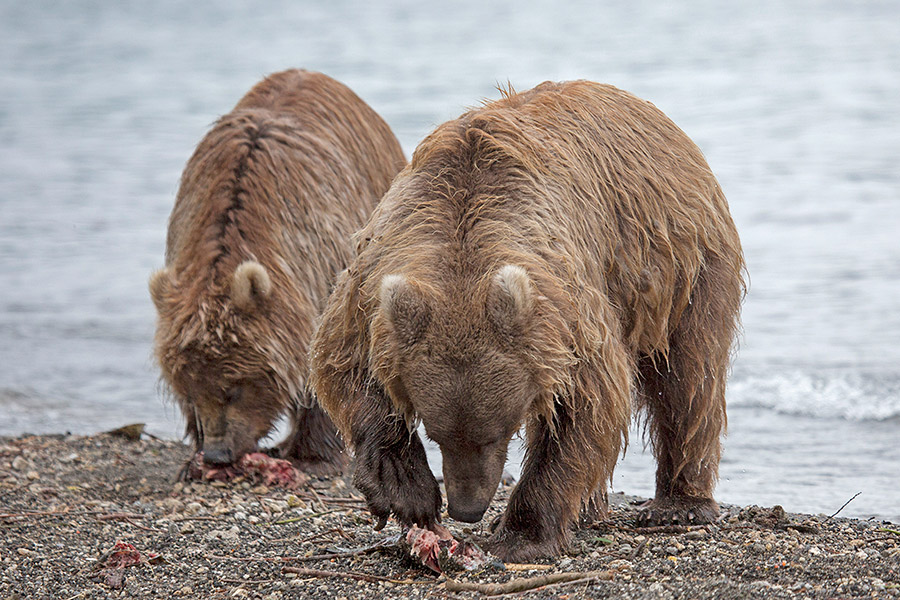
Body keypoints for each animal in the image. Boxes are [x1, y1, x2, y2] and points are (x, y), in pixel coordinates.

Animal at [310, 77, 744, 560]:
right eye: (437, 433)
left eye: (496, 433)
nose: (466, 508)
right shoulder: (371, 287)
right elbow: (346, 367)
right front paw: (404, 489)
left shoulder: (567, 311)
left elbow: (587, 403)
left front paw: (521, 533)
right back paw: (590, 508)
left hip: (683, 264)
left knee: (688, 377)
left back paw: (679, 505)